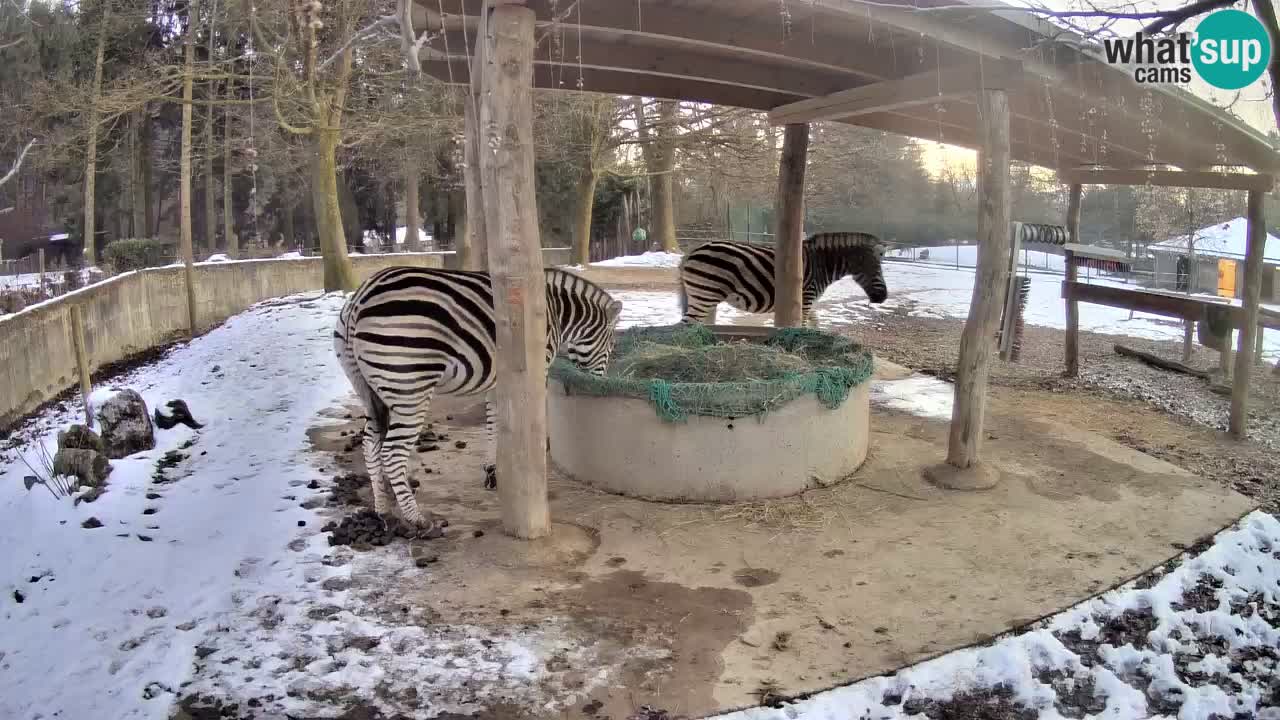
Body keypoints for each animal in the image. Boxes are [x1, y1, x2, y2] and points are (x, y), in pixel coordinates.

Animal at [335, 265, 624, 527]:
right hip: (409, 388)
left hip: (370, 390)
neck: (556, 311)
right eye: (611, 344)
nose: (599, 382)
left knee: (370, 445)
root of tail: (360, 297)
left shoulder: (499, 381)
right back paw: (416, 518)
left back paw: (382, 508)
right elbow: (532, 418)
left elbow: (495, 424)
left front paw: (492, 471)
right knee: (392, 452)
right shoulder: (535, 370)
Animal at [680, 229, 890, 325]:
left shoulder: (809, 303)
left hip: (706, 297)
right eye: (876, 270)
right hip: (705, 295)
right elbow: (803, 325)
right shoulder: (806, 299)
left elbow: (815, 324)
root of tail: (692, 251)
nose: (883, 298)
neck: (821, 264)